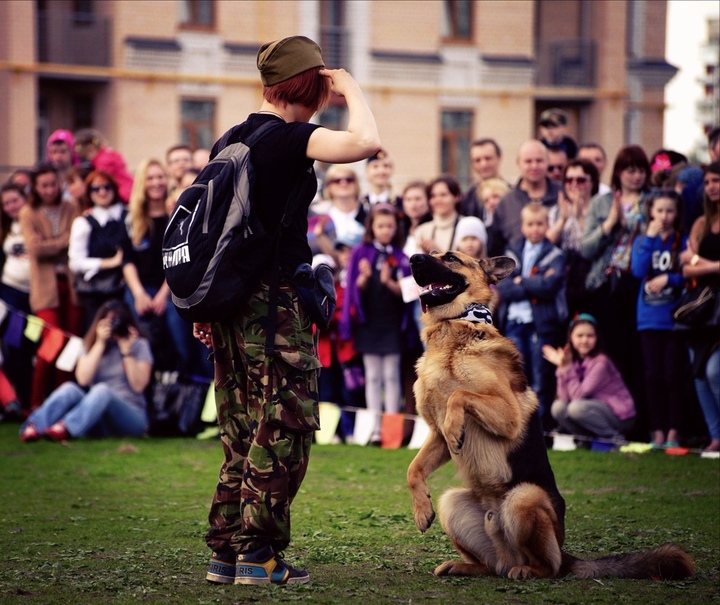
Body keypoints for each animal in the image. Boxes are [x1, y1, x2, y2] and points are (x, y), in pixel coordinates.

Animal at [408, 251, 696, 580]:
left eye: (450, 258)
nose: (413, 258)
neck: (456, 329)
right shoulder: (436, 434)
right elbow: (413, 469)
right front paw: (421, 509)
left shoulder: (507, 415)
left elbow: (459, 396)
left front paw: (457, 425)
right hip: (452, 502)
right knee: (491, 566)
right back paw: (463, 565)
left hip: (524, 497)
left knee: (551, 567)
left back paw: (528, 570)